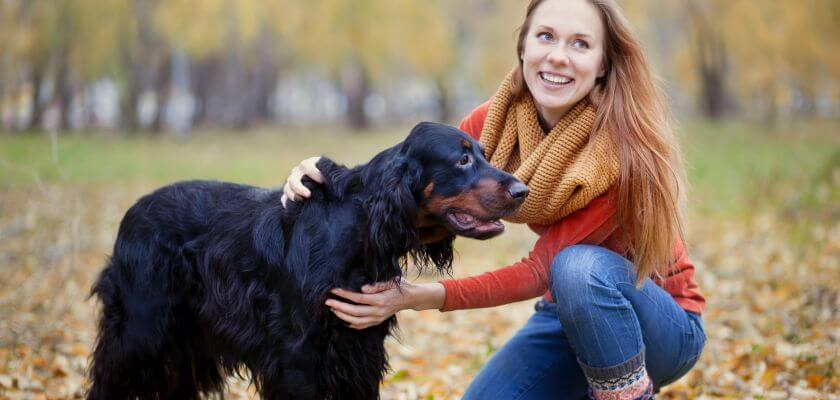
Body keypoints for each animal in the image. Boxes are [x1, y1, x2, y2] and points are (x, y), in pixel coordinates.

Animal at [88, 122, 528, 400]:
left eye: (483, 154)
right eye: (461, 160)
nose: (521, 189)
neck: (356, 228)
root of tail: (132, 213)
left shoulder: (360, 351)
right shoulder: (299, 357)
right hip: (141, 332)